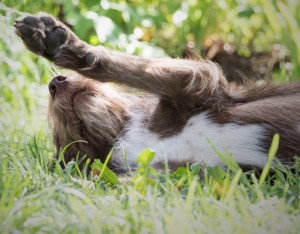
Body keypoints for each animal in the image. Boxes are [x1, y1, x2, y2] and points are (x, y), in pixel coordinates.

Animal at [14, 13, 300, 174]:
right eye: (59, 136)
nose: (54, 83)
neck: (130, 136)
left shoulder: (195, 85)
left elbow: (136, 68)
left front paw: (63, 44)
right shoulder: (179, 173)